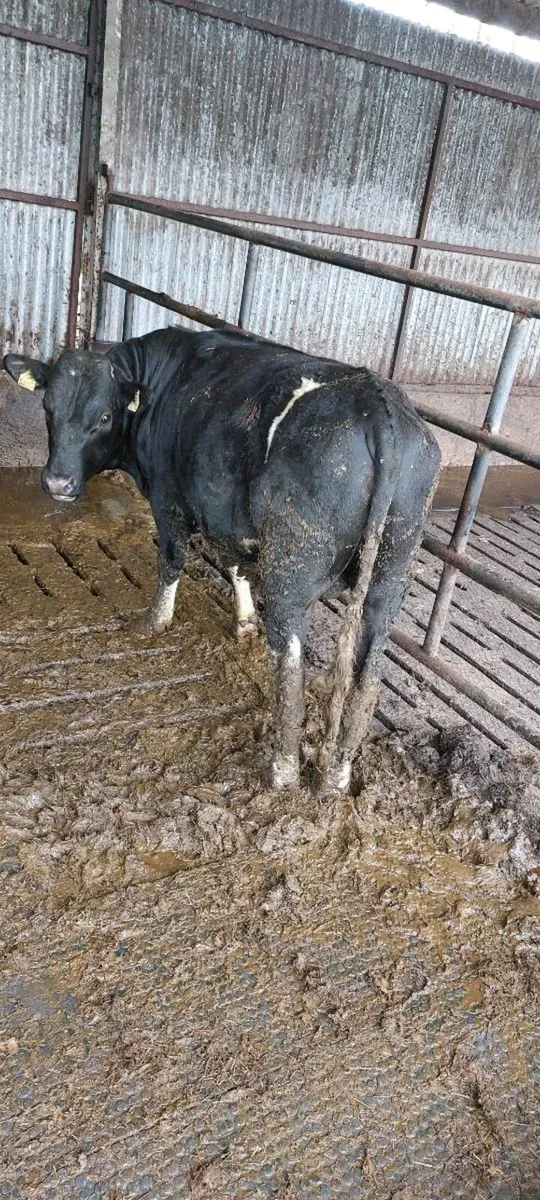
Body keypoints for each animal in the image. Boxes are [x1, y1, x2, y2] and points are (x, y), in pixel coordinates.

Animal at [3, 327, 440, 794]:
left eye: (104, 416)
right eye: (48, 408)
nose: (57, 482)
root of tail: (378, 403)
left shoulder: (170, 498)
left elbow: (172, 559)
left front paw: (155, 621)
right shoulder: (224, 508)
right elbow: (233, 565)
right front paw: (244, 621)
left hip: (291, 569)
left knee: (290, 667)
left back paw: (282, 771)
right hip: (389, 578)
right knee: (367, 673)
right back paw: (337, 774)